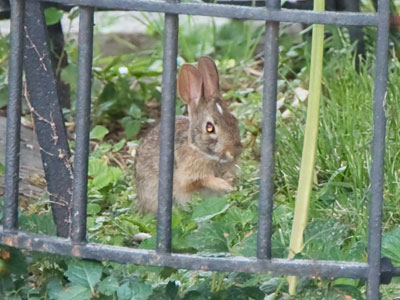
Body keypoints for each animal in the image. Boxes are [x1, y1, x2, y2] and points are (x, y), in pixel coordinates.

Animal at [134, 56, 242, 213]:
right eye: (210, 128)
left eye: (234, 119)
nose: (235, 152)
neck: (199, 151)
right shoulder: (186, 176)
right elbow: (201, 180)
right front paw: (224, 185)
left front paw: (230, 181)